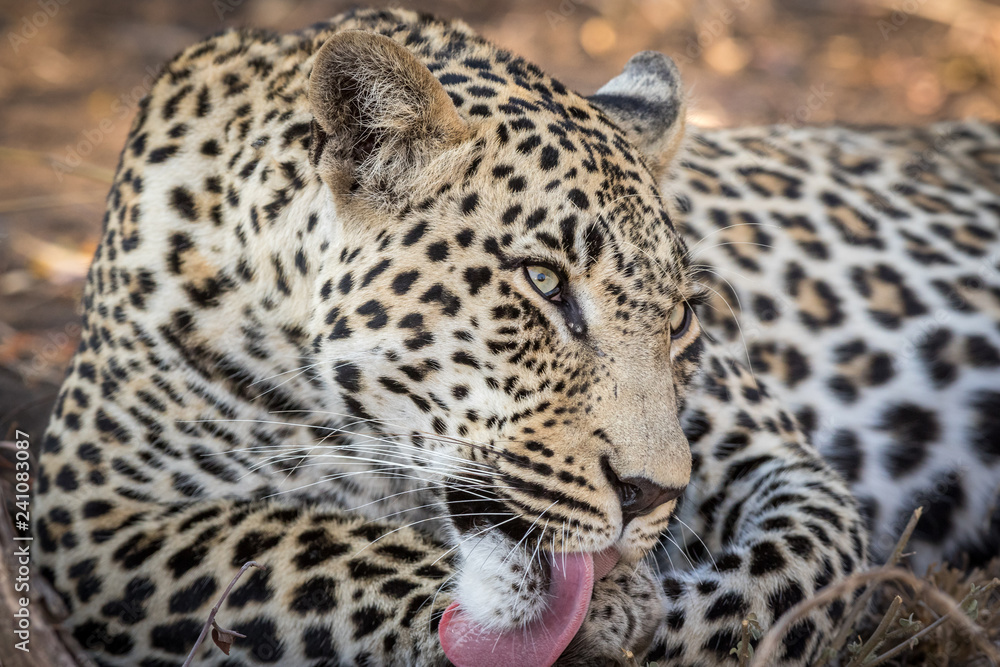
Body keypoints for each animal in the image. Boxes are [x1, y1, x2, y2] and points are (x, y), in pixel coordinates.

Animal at [33, 6, 1000, 667]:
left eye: (681, 316)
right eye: (543, 282)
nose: (651, 494)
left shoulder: (776, 458)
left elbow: (794, 574)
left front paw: (632, 616)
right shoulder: (94, 514)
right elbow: (304, 546)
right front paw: (596, 615)